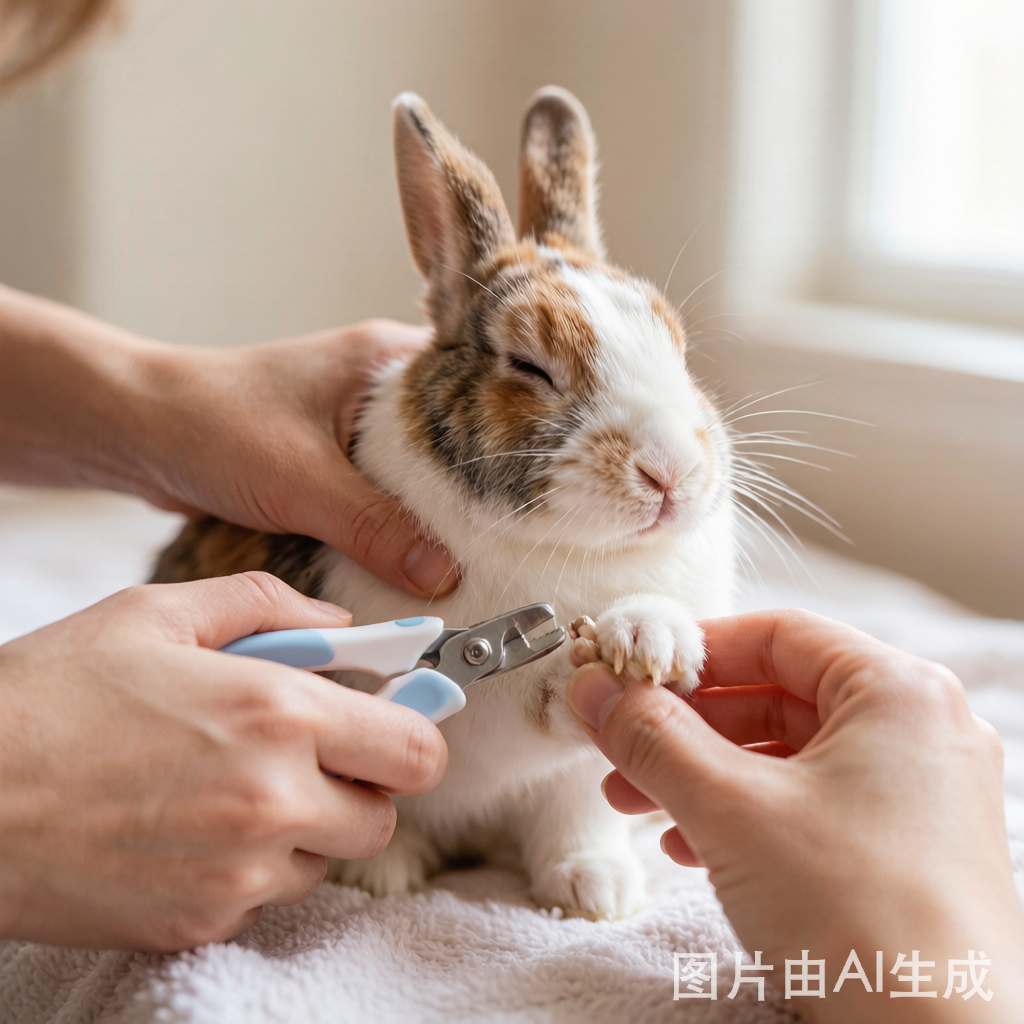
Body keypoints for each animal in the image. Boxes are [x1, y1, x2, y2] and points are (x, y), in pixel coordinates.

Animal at [151, 86, 736, 920]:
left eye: (680, 351)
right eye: (530, 366)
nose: (671, 472)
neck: (568, 551)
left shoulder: (567, 778)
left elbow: (571, 792)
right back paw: (385, 871)